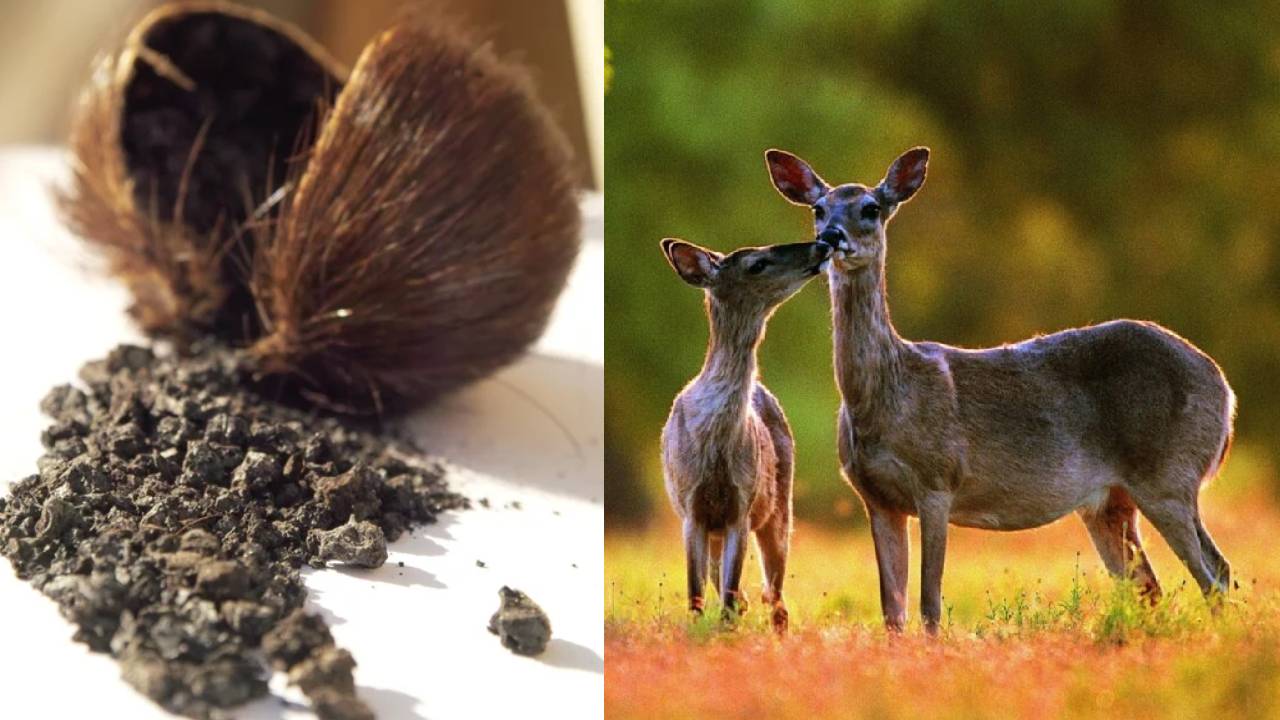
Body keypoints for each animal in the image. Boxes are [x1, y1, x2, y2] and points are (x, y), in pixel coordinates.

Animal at [660, 236, 833, 632]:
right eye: (756, 264)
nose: (820, 245)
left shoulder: (742, 504)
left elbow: (728, 590)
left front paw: (725, 631)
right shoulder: (691, 507)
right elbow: (696, 590)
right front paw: (698, 630)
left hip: (780, 508)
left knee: (776, 597)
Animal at [765, 146, 1235, 635]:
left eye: (871, 208)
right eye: (818, 209)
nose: (831, 238)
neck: (889, 396)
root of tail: (1223, 388)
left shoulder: (938, 481)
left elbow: (929, 603)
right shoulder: (875, 498)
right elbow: (892, 611)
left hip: (1169, 474)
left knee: (1214, 572)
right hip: (1110, 501)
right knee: (1150, 586)